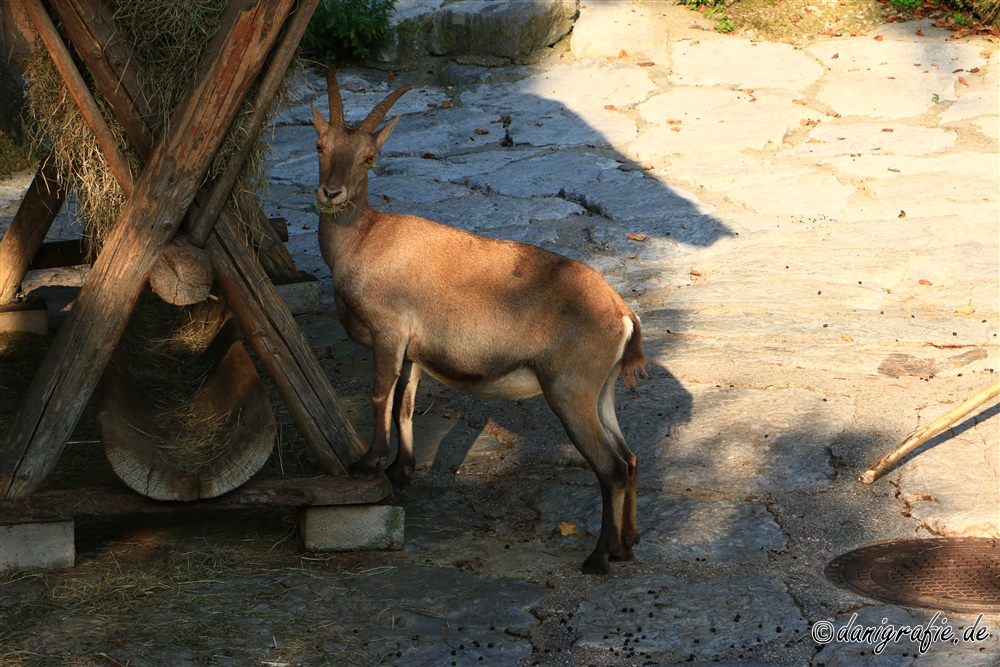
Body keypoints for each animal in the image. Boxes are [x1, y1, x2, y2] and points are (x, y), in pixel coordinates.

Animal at [308, 72, 644, 576]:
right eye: (319, 145)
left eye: (368, 158)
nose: (331, 194)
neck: (365, 240)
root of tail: (622, 313)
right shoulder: (415, 350)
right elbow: (405, 404)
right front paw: (400, 471)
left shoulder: (390, 332)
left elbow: (380, 395)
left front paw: (368, 464)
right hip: (602, 391)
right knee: (629, 457)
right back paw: (626, 545)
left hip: (570, 391)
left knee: (610, 467)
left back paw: (598, 557)